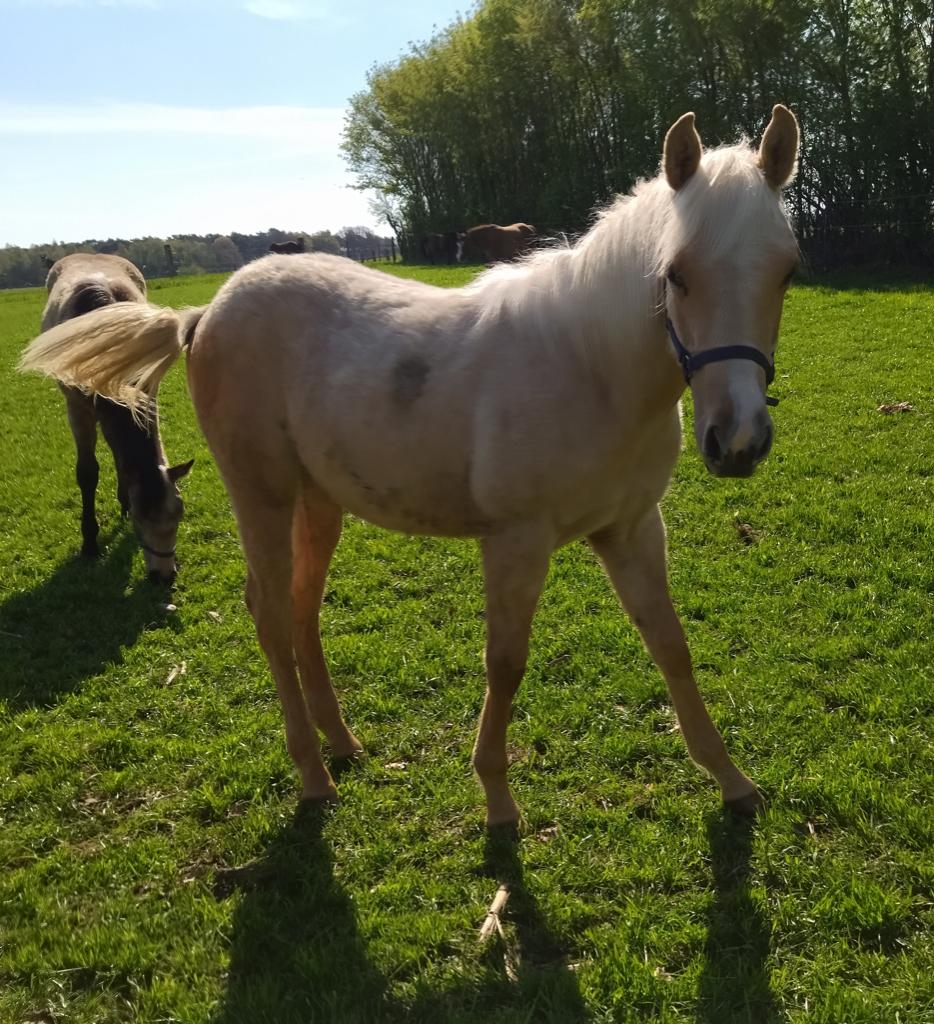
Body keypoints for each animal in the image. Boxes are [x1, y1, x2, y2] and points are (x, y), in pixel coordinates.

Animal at [34, 253, 193, 582]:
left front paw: (123, 500)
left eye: (179, 514)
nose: (163, 575)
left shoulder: (146, 392)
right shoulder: (77, 408)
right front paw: (90, 541)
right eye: (141, 519)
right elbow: (87, 472)